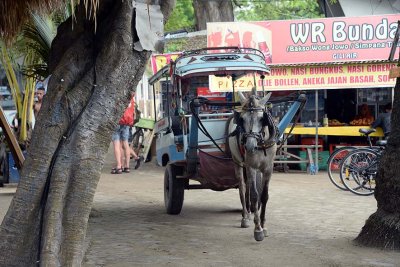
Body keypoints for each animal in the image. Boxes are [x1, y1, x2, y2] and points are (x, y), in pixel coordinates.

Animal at [227, 91, 276, 242]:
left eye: (262, 119)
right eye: (242, 119)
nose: (249, 146)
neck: (261, 144)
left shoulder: (268, 169)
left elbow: (264, 196)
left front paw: (264, 226)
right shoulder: (251, 167)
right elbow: (254, 195)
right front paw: (258, 229)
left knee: (248, 185)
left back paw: (249, 213)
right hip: (238, 162)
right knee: (243, 187)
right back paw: (245, 216)